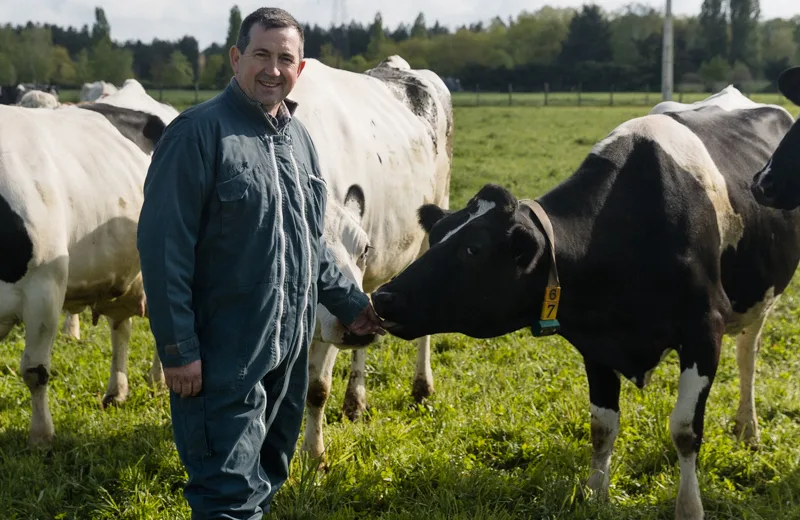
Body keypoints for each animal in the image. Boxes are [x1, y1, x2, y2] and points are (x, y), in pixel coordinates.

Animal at [0, 102, 166, 446]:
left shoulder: (44, 288)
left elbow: (35, 371)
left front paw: (41, 436)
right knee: (121, 330)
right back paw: (116, 391)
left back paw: (159, 382)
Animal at [288, 57, 454, 460]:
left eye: (362, 248)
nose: (354, 324)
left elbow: (316, 388)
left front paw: (314, 457)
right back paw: (355, 400)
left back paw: (421, 387)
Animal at [372, 87, 796, 516]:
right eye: (436, 234)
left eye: (473, 249)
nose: (382, 296)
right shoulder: (596, 341)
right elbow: (601, 426)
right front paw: (595, 495)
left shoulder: (704, 331)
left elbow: (684, 429)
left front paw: (689, 508)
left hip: (758, 301)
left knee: (747, 356)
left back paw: (747, 428)